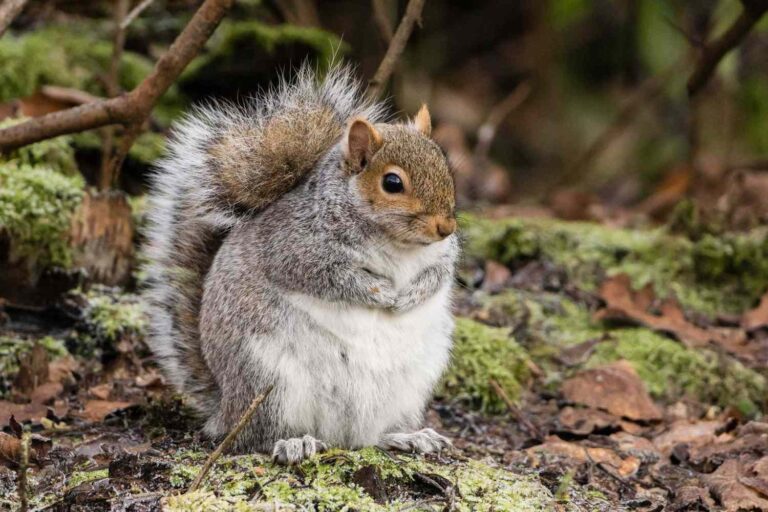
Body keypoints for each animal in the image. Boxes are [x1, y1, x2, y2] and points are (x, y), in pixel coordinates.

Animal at [144, 65, 458, 465]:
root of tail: (225, 408)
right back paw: (294, 443)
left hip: (407, 388)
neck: (398, 244)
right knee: (259, 436)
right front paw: (381, 292)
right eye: (392, 182)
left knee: (371, 436)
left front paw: (411, 296)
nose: (446, 227)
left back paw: (408, 436)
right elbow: (331, 279)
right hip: (267, 380)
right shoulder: (294, 248)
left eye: (444, 165)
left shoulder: (443, 254)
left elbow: (438, 275)